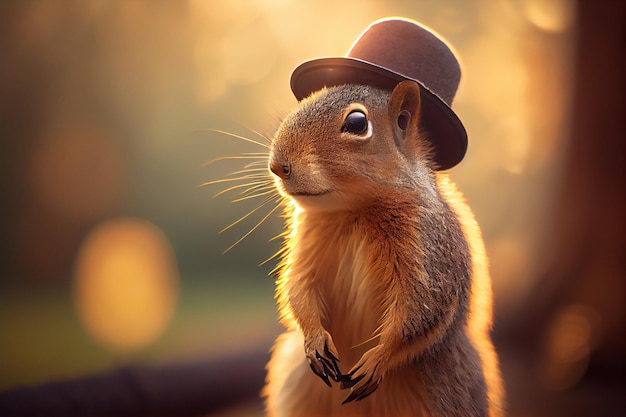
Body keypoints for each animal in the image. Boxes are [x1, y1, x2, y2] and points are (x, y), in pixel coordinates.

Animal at [260, 79, 504, 414]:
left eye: (357, 123)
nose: (277, 165)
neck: (355, 212)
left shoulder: (427, 250)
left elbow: (419, 314)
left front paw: (377, 360)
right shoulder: (308, 245)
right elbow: (298, 287)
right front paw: (315, 340)